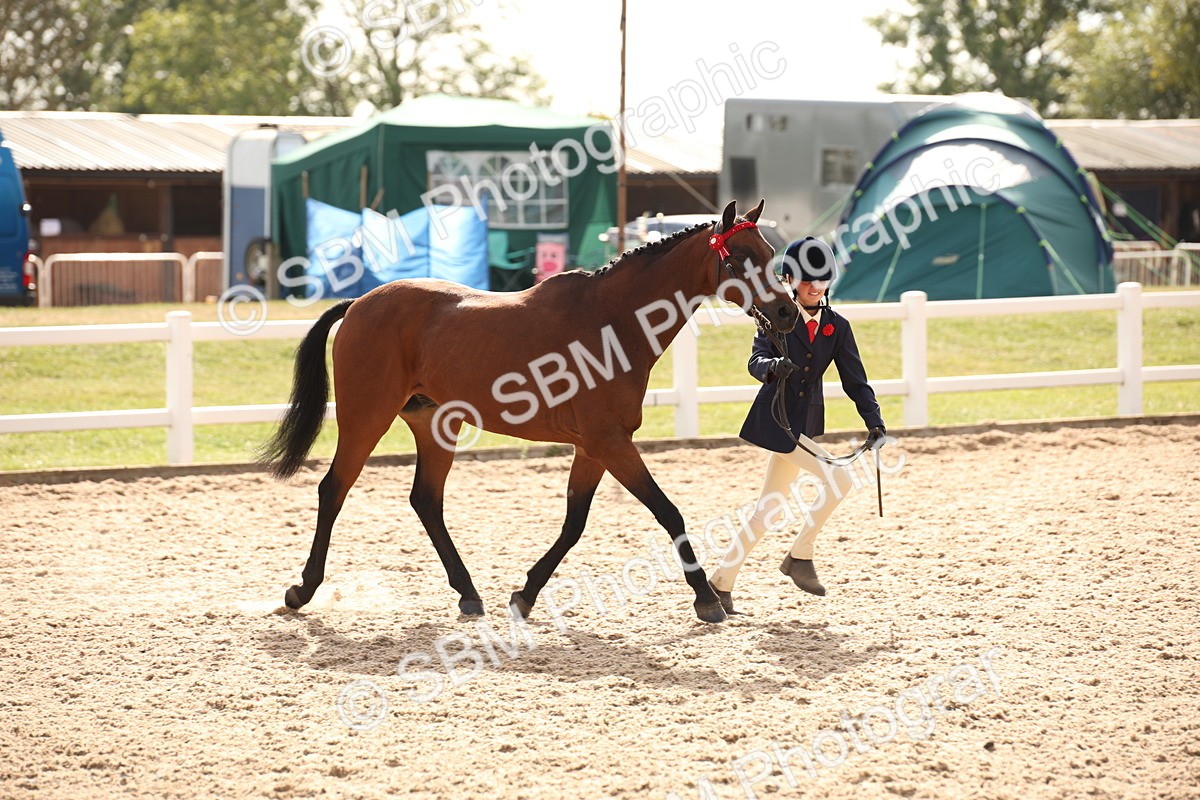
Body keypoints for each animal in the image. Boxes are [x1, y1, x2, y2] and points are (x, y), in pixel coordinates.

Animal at [260, 199, 797, 624]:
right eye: (742, 258)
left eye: (771, 255)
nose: (789, 312)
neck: (614, 322)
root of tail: (358, 304)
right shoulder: (610, 442)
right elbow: (668, 512)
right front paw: (707, 599)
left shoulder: (594, 447)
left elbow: (574, 524)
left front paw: (525, 594)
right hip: (365, 417)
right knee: (334, 489)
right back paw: (302, 590)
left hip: (435, 425)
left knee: (426, 501)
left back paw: (469, 594)